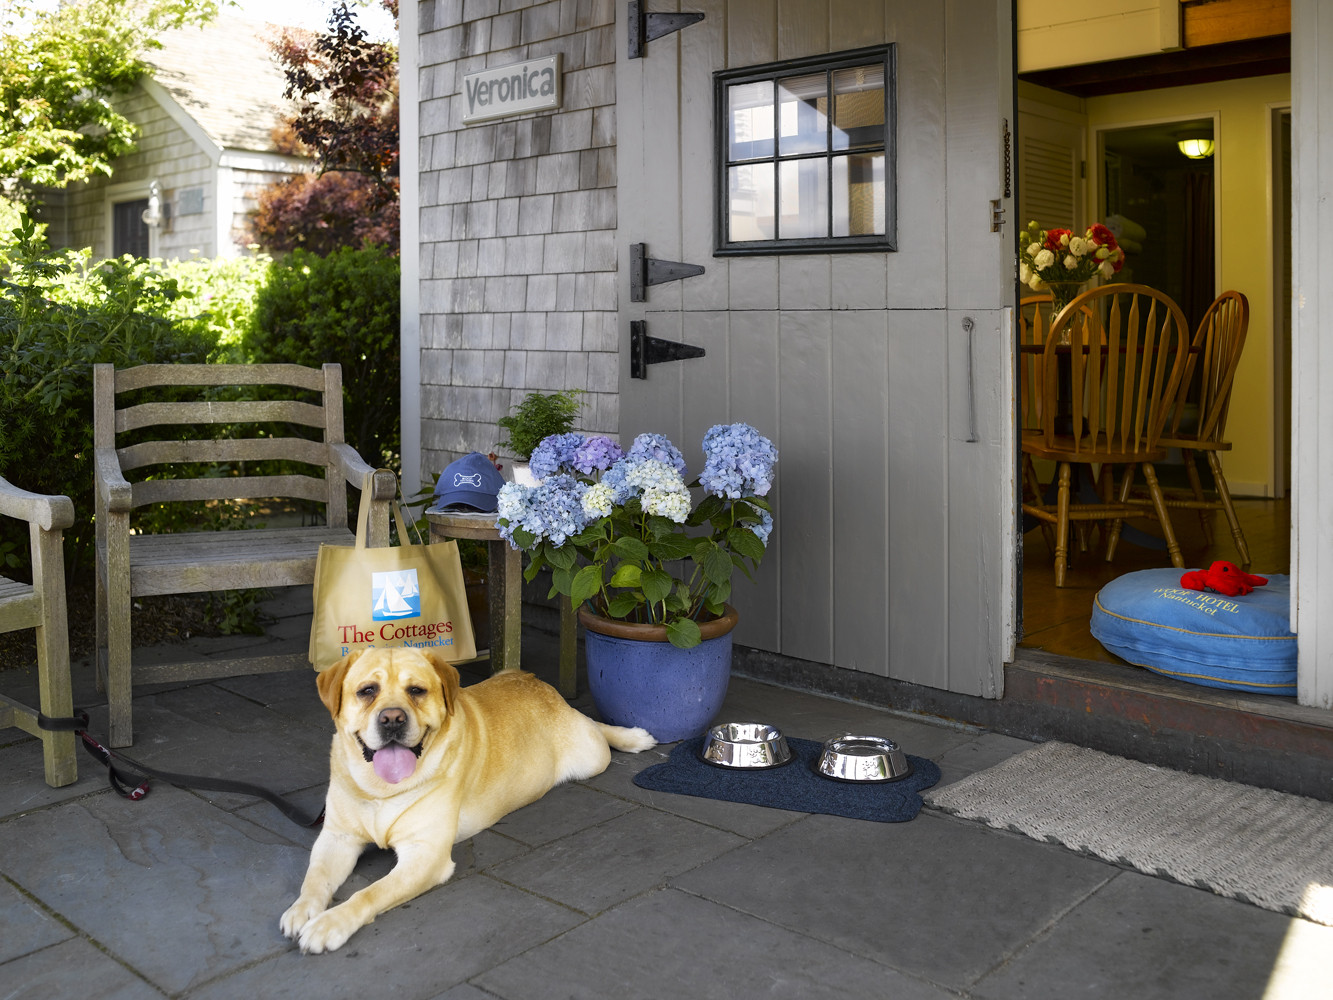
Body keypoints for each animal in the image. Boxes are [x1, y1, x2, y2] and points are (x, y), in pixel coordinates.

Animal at [281, 650, 655, 954]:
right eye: (367, 690)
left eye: (416, 691)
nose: (392, 719)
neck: (379, 790)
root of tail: (529, 677)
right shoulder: (337, 838)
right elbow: (315, 877)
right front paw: (302, 909)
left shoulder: (425, 855)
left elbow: (371, 892)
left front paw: (329, 924)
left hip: (592, 756)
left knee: (594, 724)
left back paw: (634, 736)